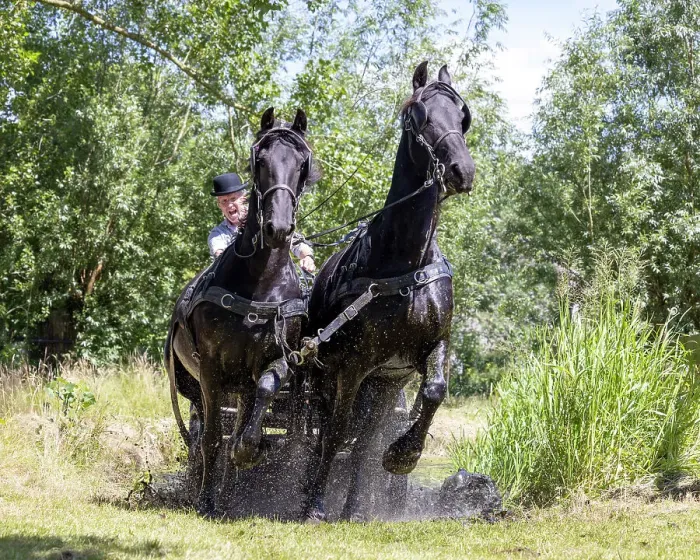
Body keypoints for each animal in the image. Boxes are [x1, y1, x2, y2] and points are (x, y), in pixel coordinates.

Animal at [164, 107, 319, 516]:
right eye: (259, 161)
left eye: (302, 164)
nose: (278, 227)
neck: (260, 281)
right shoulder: (211, 370)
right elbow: (212, 439)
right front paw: (205, 501)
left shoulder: (274, 360)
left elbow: (256, 406)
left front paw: (250, 451)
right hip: (196, 384)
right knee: (203, 432)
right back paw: (203, 490)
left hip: (239, 384)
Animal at [302, 61, 475, 521]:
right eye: (420, 116)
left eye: (462, 117)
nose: (462, 171)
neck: (405, 263)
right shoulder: (351, 365)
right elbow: (335, 432)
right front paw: (314, 505)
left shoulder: (432, 346)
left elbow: (434, 391)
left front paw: (403, 455)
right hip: (326, 375)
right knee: (324, 431)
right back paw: (309, 493)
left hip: (382, 385)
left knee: (363, 442)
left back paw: (355, 508)